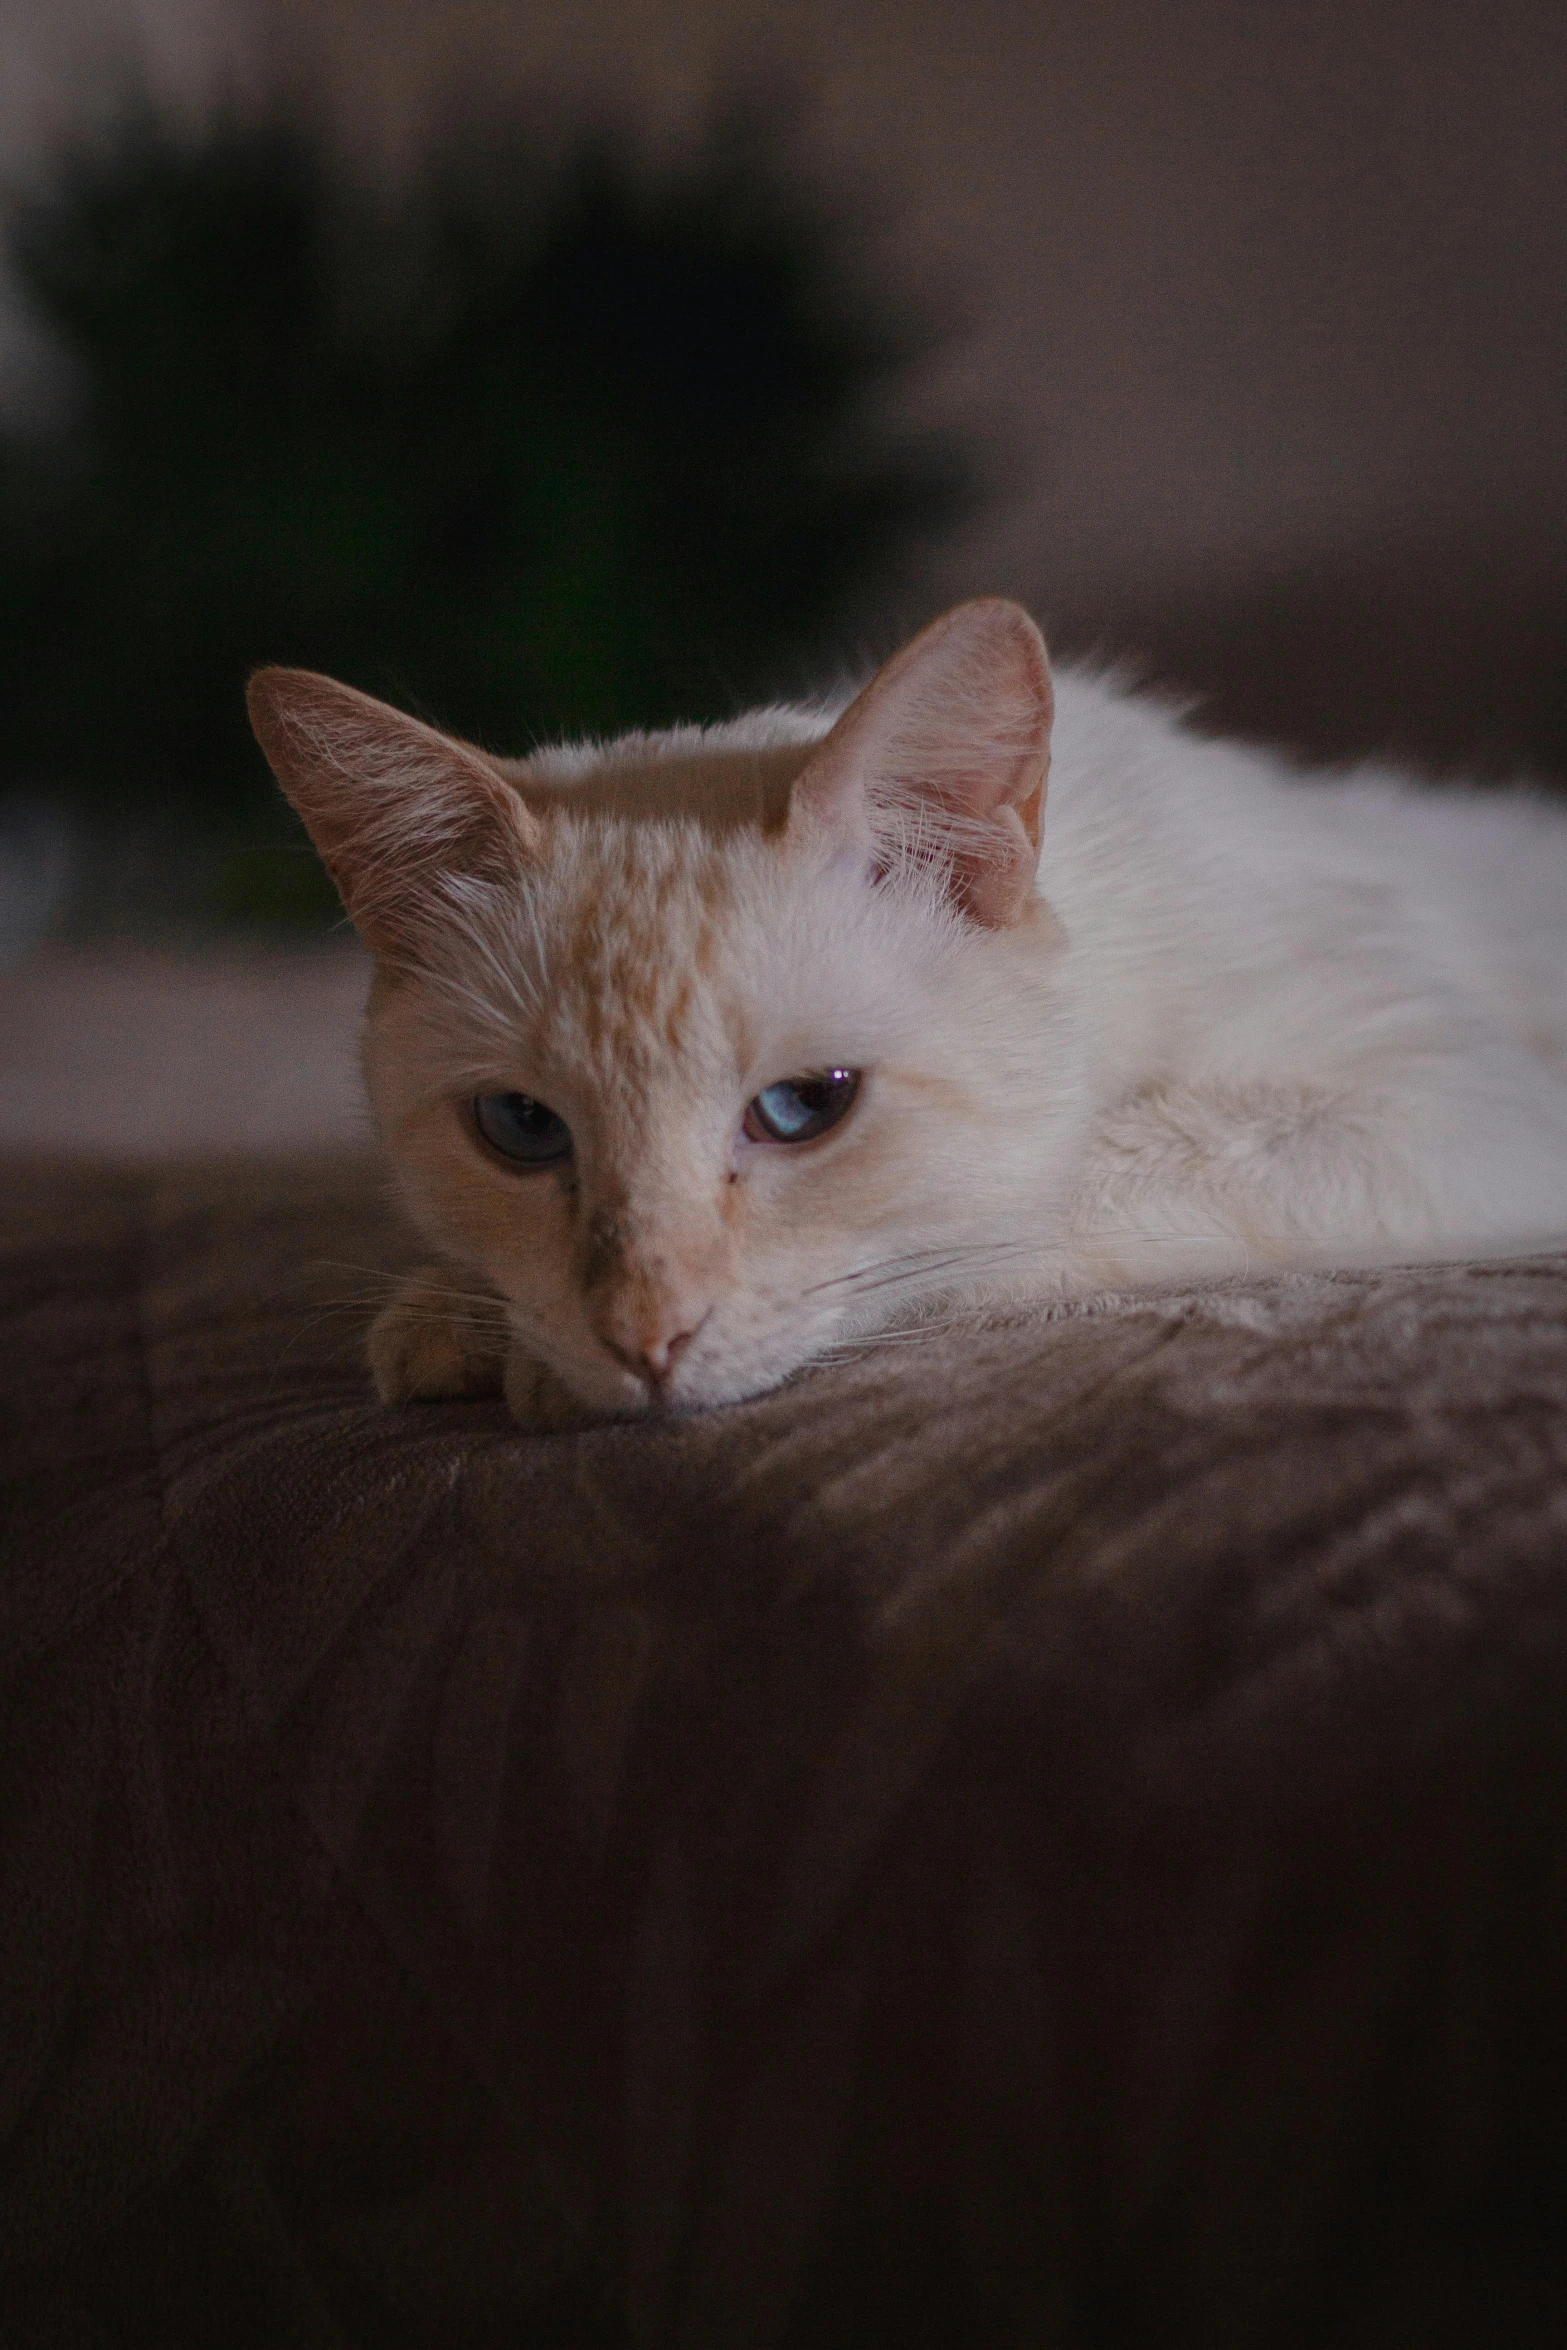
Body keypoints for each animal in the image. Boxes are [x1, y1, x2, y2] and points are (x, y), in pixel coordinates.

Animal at [245, 596, 1567, 1419]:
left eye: (803, 1109)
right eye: (521, 1129)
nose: (641, 1340)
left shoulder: (1452, 1105)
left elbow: (1057, 1187)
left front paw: (516, 1357)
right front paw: (463, 1315)